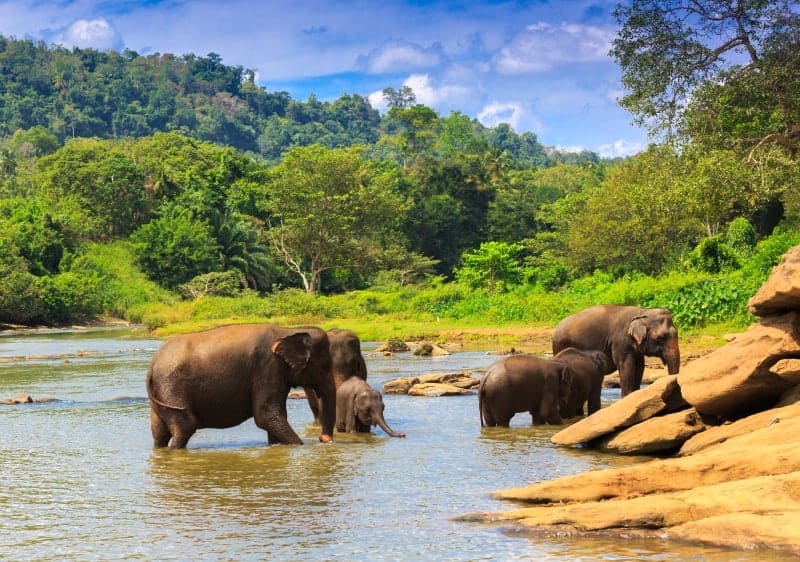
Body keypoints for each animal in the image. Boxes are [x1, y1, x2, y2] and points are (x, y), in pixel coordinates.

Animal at [146, 324, 334, 446]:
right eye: (325, 366)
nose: (323, 439)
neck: (288, 331)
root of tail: (153, 363)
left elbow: (275, 416)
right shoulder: (268, 367)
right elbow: (266, 415)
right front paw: (301, 445)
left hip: (162, 391)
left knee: (159, 432)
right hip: (171, 386)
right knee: (185, 427)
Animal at [552, 304, 680, 396]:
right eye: (660, 338)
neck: (642, 312)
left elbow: (640, 366)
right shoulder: (620, 341)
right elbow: (626, 366)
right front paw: (626, 398)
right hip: (560, 345)